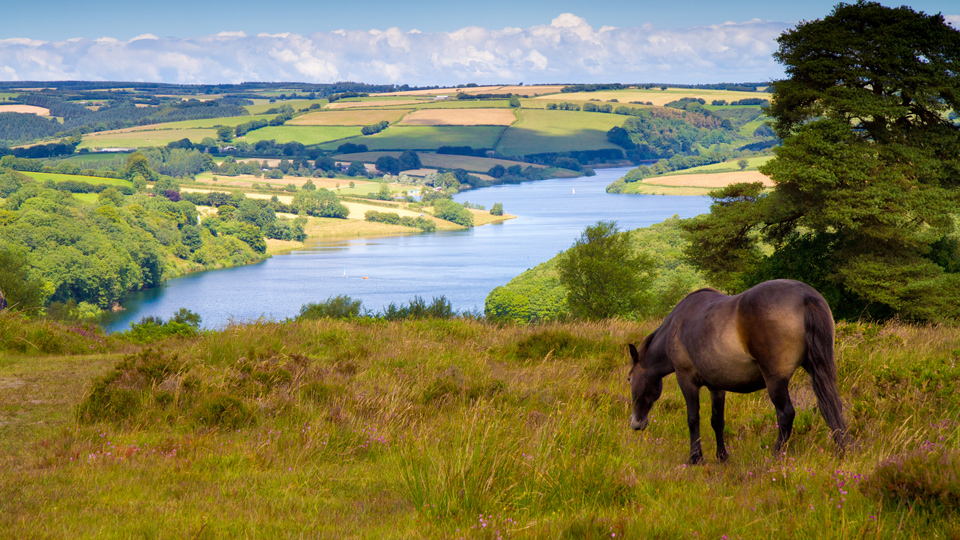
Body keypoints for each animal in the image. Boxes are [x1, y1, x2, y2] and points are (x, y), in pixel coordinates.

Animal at [632, 278, 848, 464]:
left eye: (629, 379)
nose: (636, 423)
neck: (676, 325)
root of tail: (806, 296)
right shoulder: (717, 386)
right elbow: (717, 421)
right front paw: (722, 456)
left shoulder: (686, 381)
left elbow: (693, 419)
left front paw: (695, 458)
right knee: (832, 406)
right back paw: (842, 450)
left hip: (775, 381)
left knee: (786, 414)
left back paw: (775, 456)